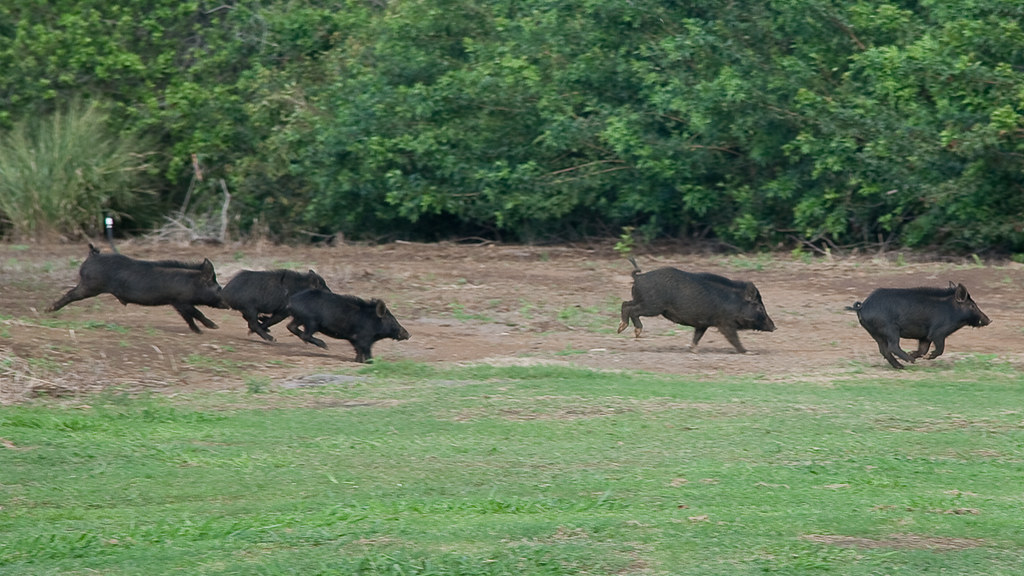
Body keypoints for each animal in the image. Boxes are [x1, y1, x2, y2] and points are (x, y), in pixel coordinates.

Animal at [47, 244, 228, 333]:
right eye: (218, 288)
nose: (227, 303)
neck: (192, 283)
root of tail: (93, 255)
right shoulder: (181, 301)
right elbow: (198, 313)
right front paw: (214, 327)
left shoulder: (177, 304)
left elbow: (189, 318)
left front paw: (198, 331)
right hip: (89, 286)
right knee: (70, 294)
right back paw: (48, 309)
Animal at [618, 257, 776, 353]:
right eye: (759, 307)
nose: (775, 327)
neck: (734, 302)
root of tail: (638, 277)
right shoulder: (725, 323)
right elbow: (734, 339)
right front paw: (748, 352)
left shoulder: (703, 323)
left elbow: (697, 336)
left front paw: (693, 350)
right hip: (652, 306)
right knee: (632, 310)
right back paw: (633, 332)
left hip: (642, 301)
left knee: (625, 304)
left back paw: (622, 329)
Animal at [847, 282, 991, 369]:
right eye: (972, 306)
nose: (989, 320)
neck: (952, 311)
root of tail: (862, 307)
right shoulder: (937, 332)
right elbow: (940, 348)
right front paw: (923, 357)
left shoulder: (925, 337)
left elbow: (923, 350)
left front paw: (915, 353)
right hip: (890, 329)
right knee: (892, 346)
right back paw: (910, 361)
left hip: (875, 333)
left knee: (884, 350)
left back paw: (901, 366)